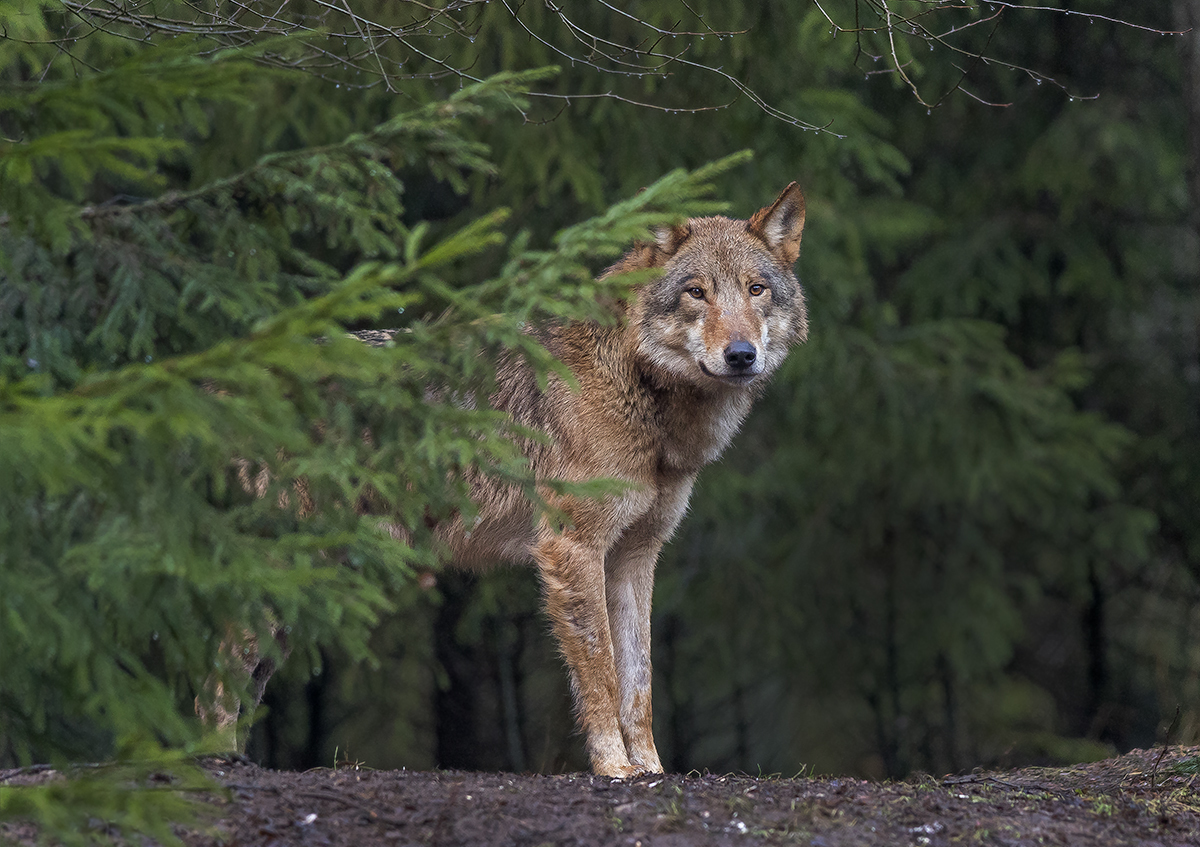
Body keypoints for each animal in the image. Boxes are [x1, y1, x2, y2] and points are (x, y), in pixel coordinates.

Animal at [201, 181, 811, 777]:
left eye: (756, 290)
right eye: (697, 293)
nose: (741, 355)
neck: (638, 389)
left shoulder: (635, 557)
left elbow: (638, 684)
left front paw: (652, 770)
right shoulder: (572, 548)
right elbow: (600, 671)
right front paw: (615, 770)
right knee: (215, 675)